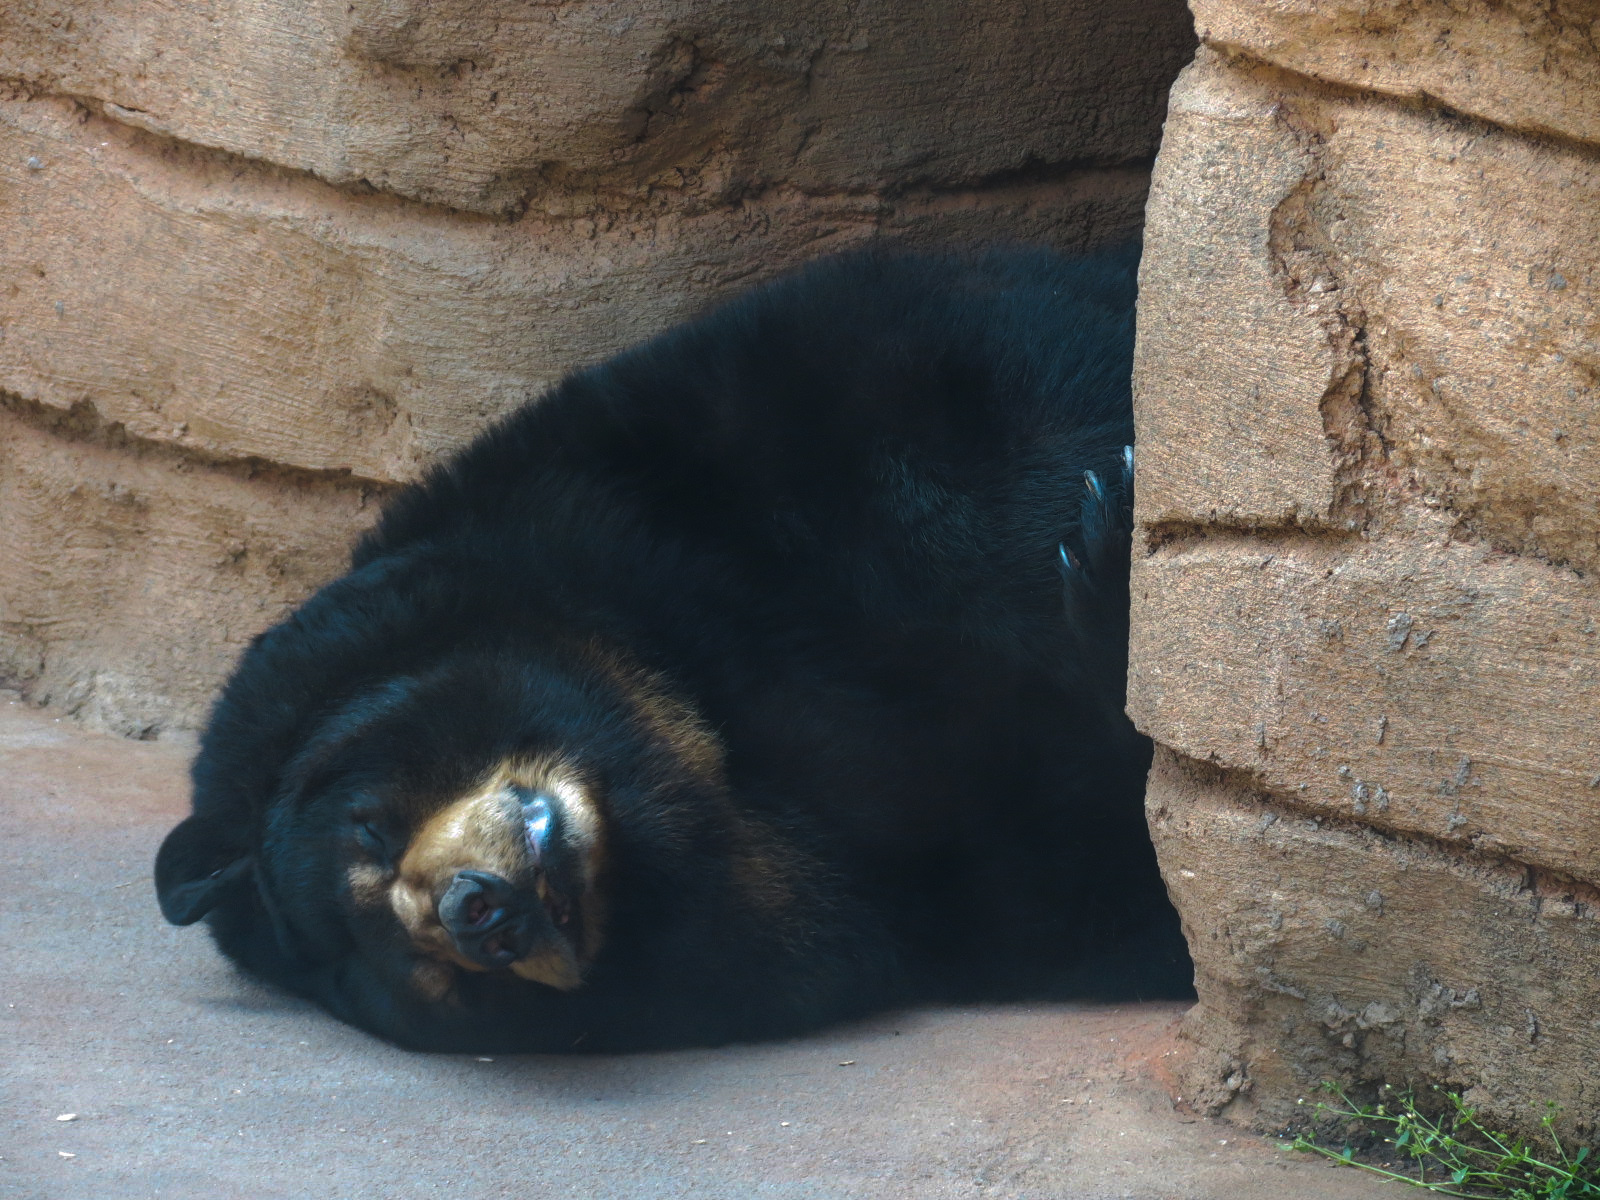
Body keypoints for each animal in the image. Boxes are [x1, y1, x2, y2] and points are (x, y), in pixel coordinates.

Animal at [154, 245, 1192, 1053]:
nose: (476, 911)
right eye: (427, 975)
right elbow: (1104, 865)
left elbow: (1016, 406)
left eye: (366, 826)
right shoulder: (949, 886)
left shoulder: (754, 420)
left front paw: (1114, 551)